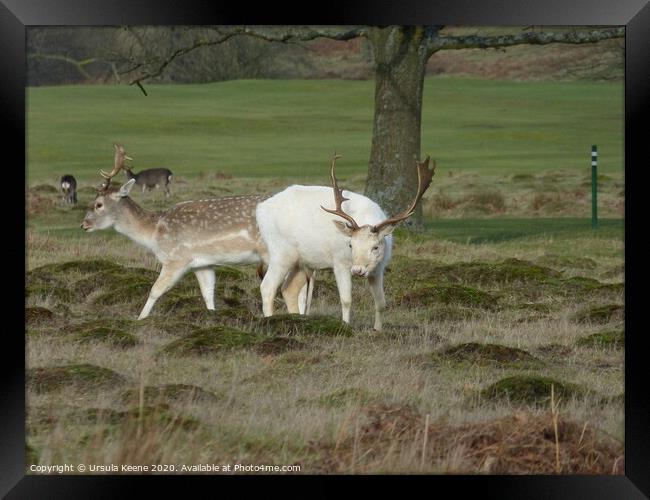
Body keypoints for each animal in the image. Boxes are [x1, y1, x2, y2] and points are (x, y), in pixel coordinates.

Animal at [79, 144, 308, 320]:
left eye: (98, 204)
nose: (84, 225)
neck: (154, 232)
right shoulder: (202, 263)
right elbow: (208, 293)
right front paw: (212, 317)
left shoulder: (176, 259)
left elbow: (155, 290)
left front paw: (140, 319)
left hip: (278, 253)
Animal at [256, 154, 432, 330]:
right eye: (350, 245)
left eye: (375, 247)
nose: (358, 270)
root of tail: (260, 210)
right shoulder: (339, 261)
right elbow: (346, 300)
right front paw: (346, 326)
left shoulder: (379, 268)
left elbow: (381, 303)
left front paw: (378, 329)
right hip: (280, 253)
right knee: (267, 287)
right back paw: (269, 320)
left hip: (301, 261)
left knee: (288, 289)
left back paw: (296, 319)